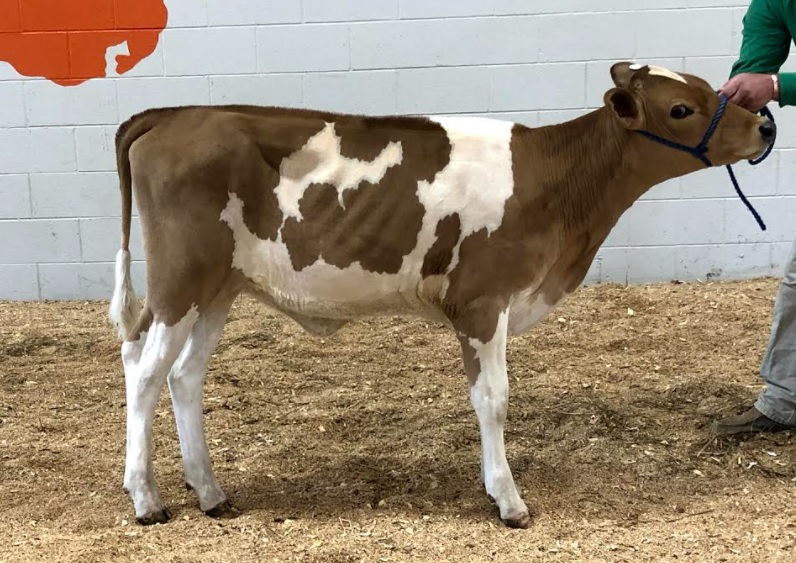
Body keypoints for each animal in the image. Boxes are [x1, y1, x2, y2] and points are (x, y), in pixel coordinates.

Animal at [108, 62, 775, 529]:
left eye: (710, 86)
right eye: (682, 107)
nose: (766, 123)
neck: (558, 190)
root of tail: (175, 114)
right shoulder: (483, 302)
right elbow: (493, 400)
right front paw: (508, 501)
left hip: (220, 286)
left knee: (185, 375)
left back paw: (211, 493)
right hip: (180, 279)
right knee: (144, 371)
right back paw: (146, 499)